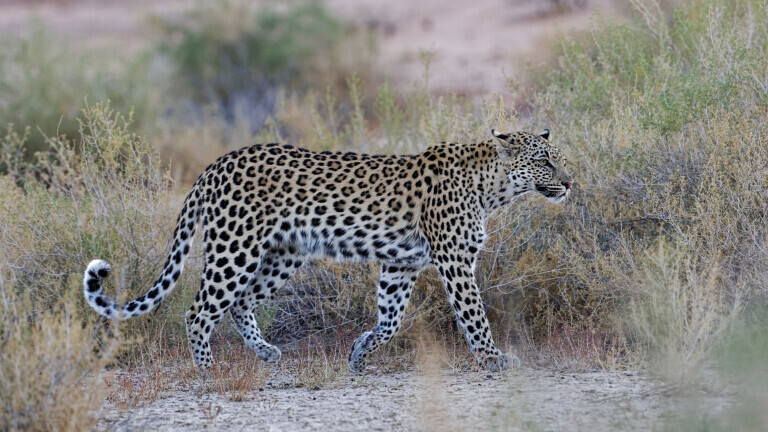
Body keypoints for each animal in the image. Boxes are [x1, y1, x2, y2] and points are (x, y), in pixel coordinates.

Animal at [84, 128, 572, 372]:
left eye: (561, 159)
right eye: (545, 161)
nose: (569, 182)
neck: (494, 189)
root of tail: (216, 165)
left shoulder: (401, 264)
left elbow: (390, 320)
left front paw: (359, 352)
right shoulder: (453, 259)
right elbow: (473, 314)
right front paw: (493, 359)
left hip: (282, 255)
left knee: (240, 302)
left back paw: (265, 353)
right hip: (234, 248)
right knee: (199, 310)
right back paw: (207, 369)